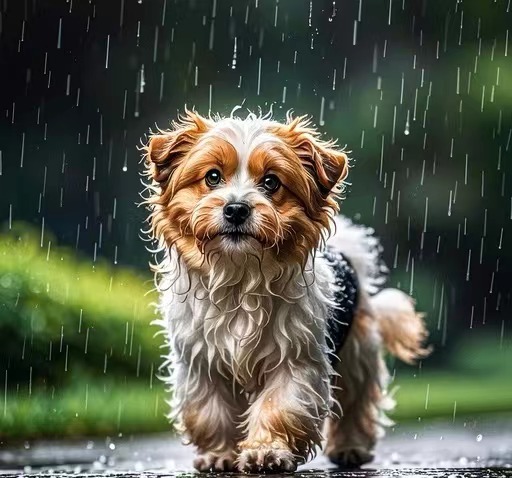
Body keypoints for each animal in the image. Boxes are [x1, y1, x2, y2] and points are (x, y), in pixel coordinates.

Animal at [142, 110, 430, 472]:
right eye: (212, 177)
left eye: (271, 182)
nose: (236, 208)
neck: (241, 276)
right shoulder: (202, 363)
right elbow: (210, 411)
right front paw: (219, 454)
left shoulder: (296, 359)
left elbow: (281, 405)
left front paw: (267, 451)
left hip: (356, 351)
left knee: (355, 401)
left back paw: (350, 448)